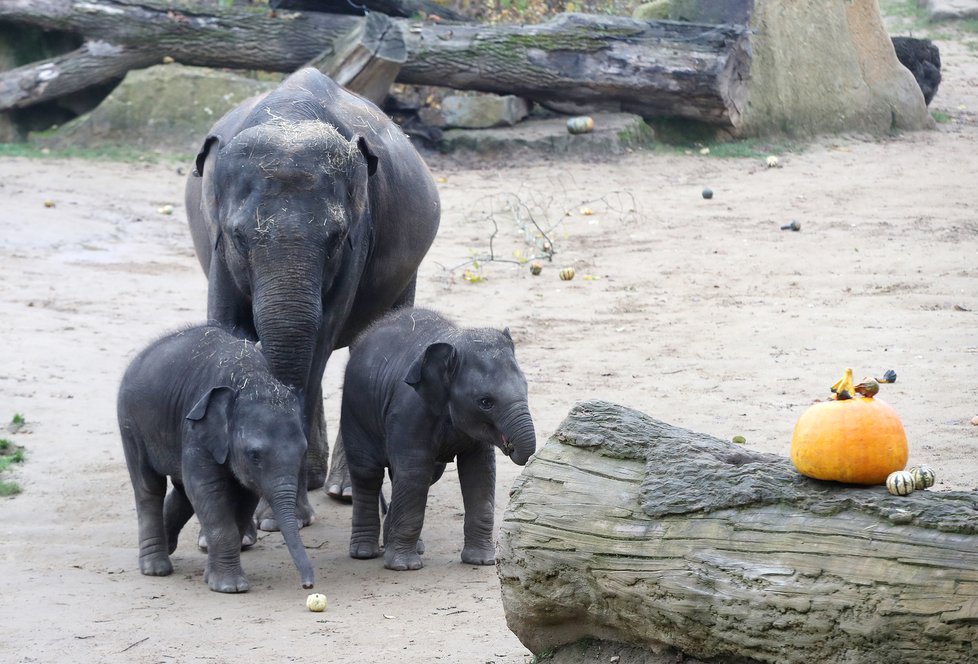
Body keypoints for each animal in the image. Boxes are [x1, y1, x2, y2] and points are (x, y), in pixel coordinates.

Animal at [115, 326, 314, 592]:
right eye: (254, 455)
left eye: (303, 451)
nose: (308, 586)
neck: (250, 378)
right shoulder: (196, 428)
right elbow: (206, 488)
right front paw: (230, 587)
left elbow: (243, 496)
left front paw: (213, 578)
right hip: (130, 423)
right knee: (149, 487)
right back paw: (156, 569)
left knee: (183, 491)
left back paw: (168, 547)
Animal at [184, 65, 442, 528]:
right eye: (238, 237)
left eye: (336, 237)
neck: (289, 118)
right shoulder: (217, 252)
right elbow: (227, 331)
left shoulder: (361, 234)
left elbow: (322, 335)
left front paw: (276, 519)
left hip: (406, 270)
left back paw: (341, 489)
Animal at [340, 306, 536, 572]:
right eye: (485, 402)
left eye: (526, 388)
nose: (512, 446)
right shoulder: (410, 411)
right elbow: (414, 471)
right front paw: (405, 567)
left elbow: (480, 471)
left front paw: (481, 561)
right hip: (354, 412)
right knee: (367, 474)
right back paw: (364, 553)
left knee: (421, 474)